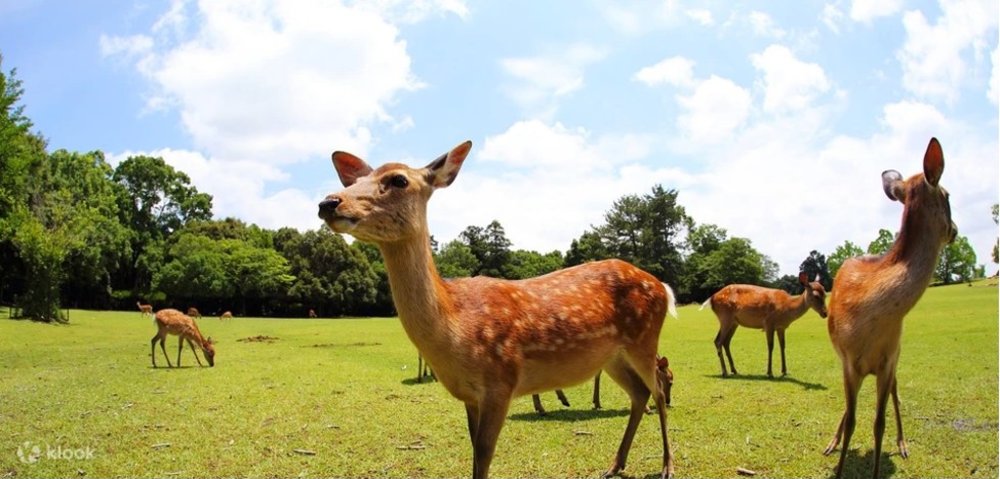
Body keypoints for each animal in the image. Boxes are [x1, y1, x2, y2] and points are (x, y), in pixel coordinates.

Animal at [318, 140, 678, 479]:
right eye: (356, 180)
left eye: (398, 179)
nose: (328, 202)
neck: (457, 326)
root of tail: (663, 287)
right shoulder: (470, 395)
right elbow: (475, 452)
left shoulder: (500, 382)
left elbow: (484, 455)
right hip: (612, 355)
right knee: (639, 394)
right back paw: (614, 466)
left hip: (644, 339)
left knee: (658, 389)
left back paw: (666, 466)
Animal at [822, 137, 956, 479]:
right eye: (948, 195)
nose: (955, 230)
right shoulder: (848, 362)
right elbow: (853, 418)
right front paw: (839, 466)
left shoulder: (889, 359)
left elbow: (878, 423)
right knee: (850, 407)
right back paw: (832, 442)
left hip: (897, 356)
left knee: (895, 392)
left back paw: (903, 443)